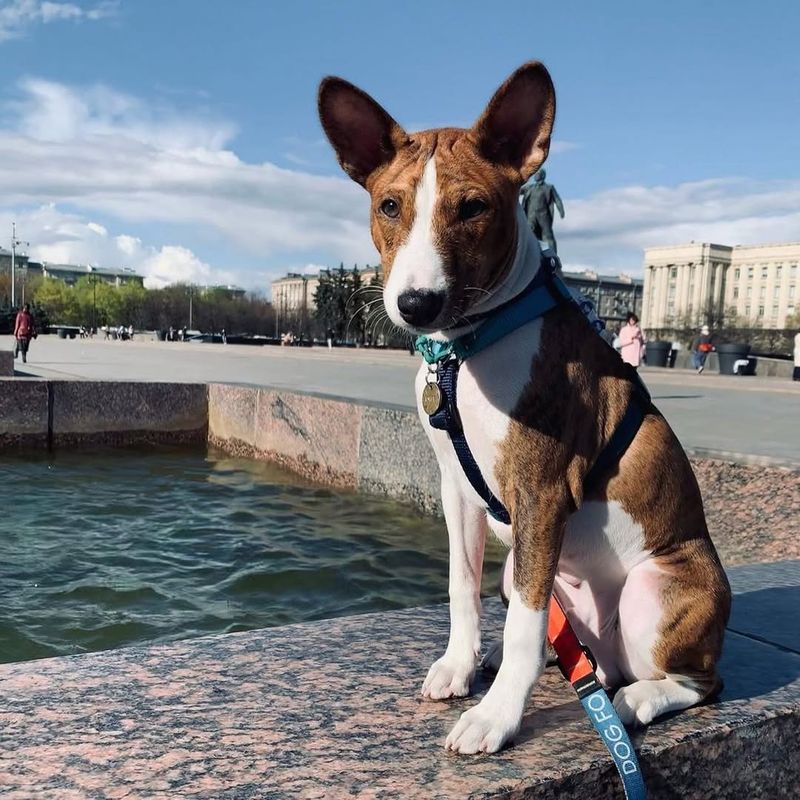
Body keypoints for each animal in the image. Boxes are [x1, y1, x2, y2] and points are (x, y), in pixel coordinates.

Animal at [318, 59, 732, 752]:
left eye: (475, 208)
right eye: (389, 206)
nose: (416, 304)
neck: (465, 350)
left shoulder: (540, 488)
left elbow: (525, 632)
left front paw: (497, 716)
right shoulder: (458, 488)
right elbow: (461, 589)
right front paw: (459, 666)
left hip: (655, 590)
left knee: (698, 681)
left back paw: (632, 702)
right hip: (524, 565)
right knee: (585, 658)